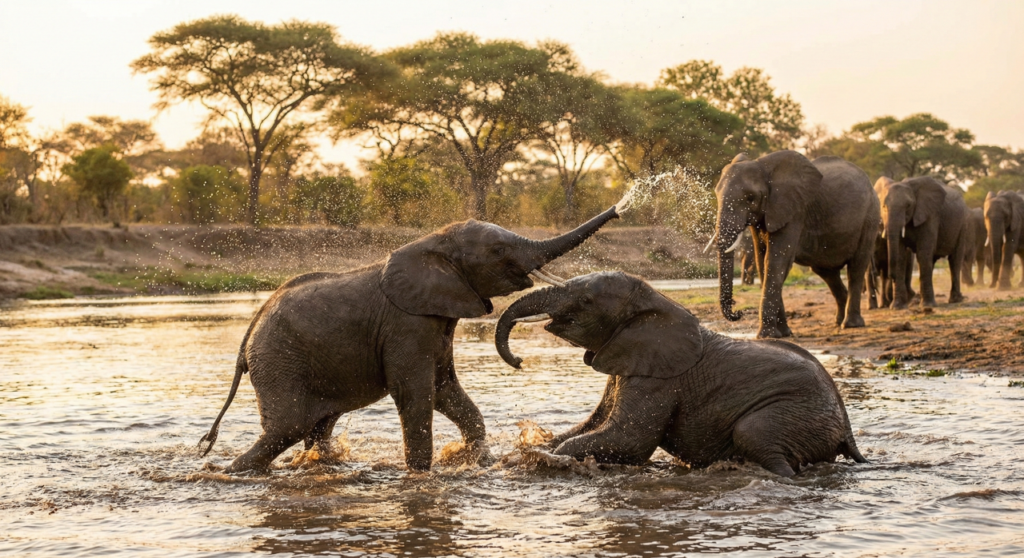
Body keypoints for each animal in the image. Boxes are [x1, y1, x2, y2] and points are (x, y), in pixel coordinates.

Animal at [197, 206, 620, 473]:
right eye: (498, 250)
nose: (618, 210)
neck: (433, 243)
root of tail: (249, 336)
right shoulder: (407, 324)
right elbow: (415, 393)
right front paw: (421, 473)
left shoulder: (437, 320)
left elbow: (446, 389)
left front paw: (473, 461)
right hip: (279, 360)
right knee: (287, 427)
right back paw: (228, 472)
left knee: (315, 428)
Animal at [494, 271, 867, 477]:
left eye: (586, 300)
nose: (519, 361)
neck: (654, 300)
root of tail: (846, 427)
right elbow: (591, 424)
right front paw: (519, 455)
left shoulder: (658, 380)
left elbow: (627, 440)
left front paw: (541, 460)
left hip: (796, 413)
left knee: (755, 435)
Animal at [713, 151, 880, 338]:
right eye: (716, 194)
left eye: (750, 198)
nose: (739, 312)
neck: (763, 165)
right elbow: (762, 262)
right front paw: (783, 333)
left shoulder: (794, 212)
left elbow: (776, 262)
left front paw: (767, 335)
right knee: (826, 272)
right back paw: (839, 320)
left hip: (870, 217)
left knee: (856, 268)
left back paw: (851, 324)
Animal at [876, 176, 969, 308]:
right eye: (883, 206)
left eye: (908, 205)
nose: (891, 276)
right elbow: (900, 256)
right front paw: (897, 307)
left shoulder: (930, 216)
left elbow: (923, 254)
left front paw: (927, 306)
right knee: (933, 261)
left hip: (962, 225)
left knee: (955, 260)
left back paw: (955, 300)